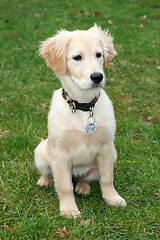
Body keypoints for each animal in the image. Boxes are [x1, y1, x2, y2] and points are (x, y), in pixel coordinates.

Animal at [34, 24, 126, 218]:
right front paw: (69, 209)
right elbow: (64, 185)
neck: (84, 106)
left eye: (99, 54)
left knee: (86, 179)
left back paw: (83, 187)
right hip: (40, 152)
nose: (97, 77)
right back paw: (45, 180)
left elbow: (107, 178)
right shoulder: (61, 154)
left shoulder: (106, 148)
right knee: (52, 174)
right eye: (77, 57)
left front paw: (113, 198)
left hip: (111, 155)